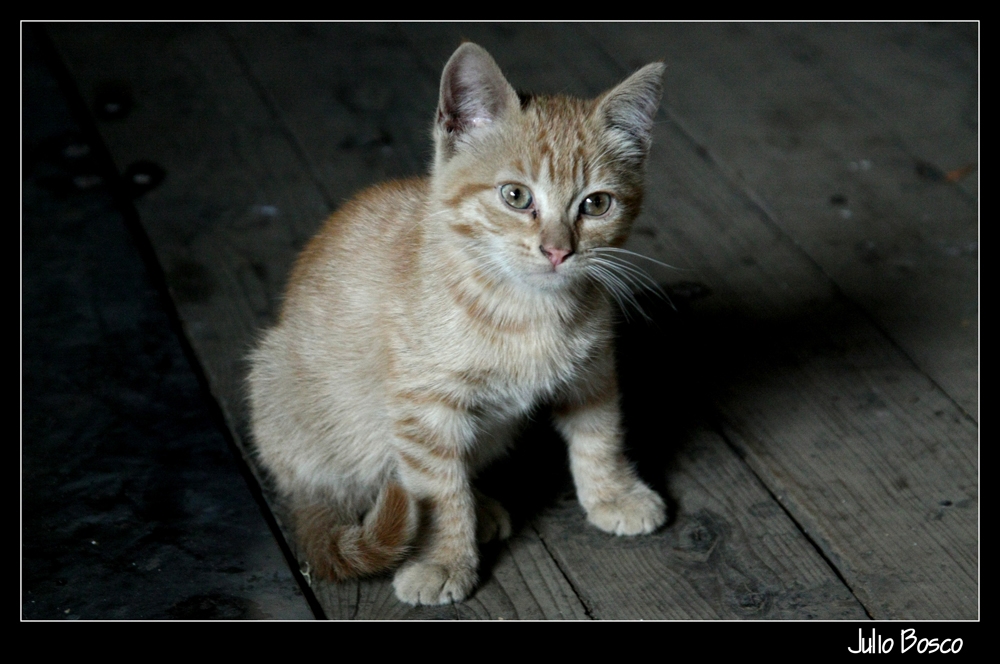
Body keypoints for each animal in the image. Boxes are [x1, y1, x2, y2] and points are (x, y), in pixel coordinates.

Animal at [247, 42, 668, 608]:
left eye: (596, 203)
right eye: (516, 196)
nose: (558, 251)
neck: (527, 311)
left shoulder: (593, 370)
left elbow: (600, 435)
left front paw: (613, 493)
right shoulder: (424, 409)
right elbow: (438, 490)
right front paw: (442, 559)